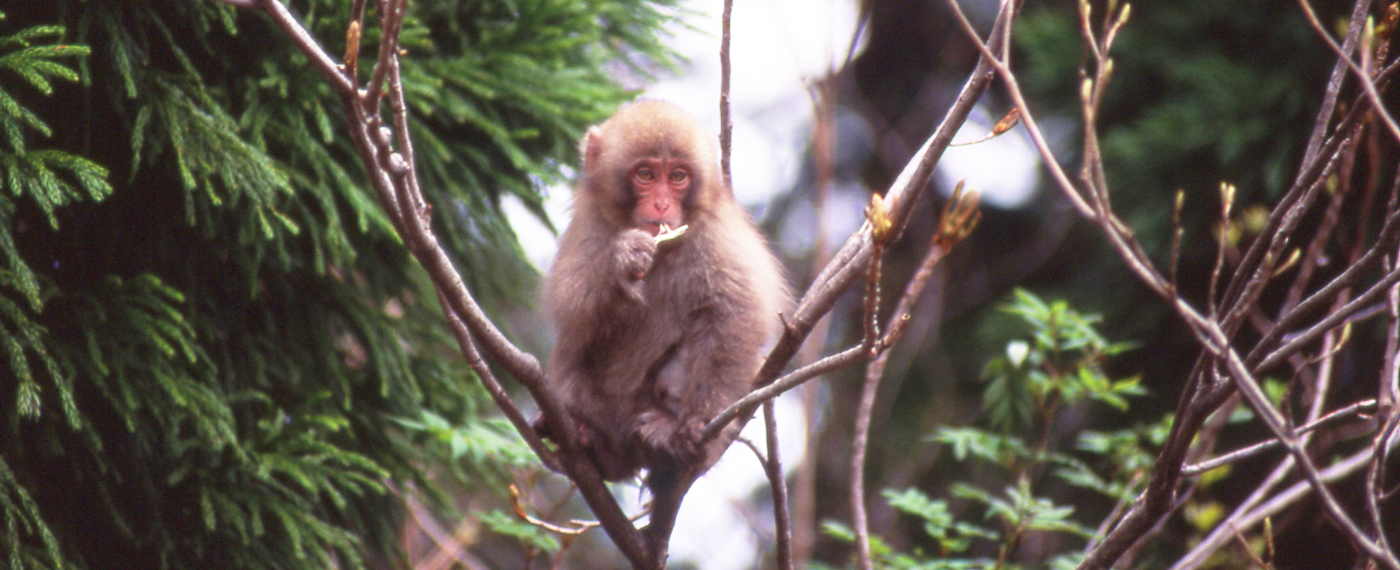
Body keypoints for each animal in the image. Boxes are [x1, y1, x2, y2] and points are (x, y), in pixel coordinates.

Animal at [539, 100, 790, 482]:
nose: (661, 205)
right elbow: (571, 307)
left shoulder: (715, 236)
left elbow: (734, 312)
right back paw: (596, 444)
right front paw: (623, 262)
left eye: (677, 177)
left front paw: (695, 423)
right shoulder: (589, 222)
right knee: (574, 350)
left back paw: (663, 434)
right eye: (646, 175)